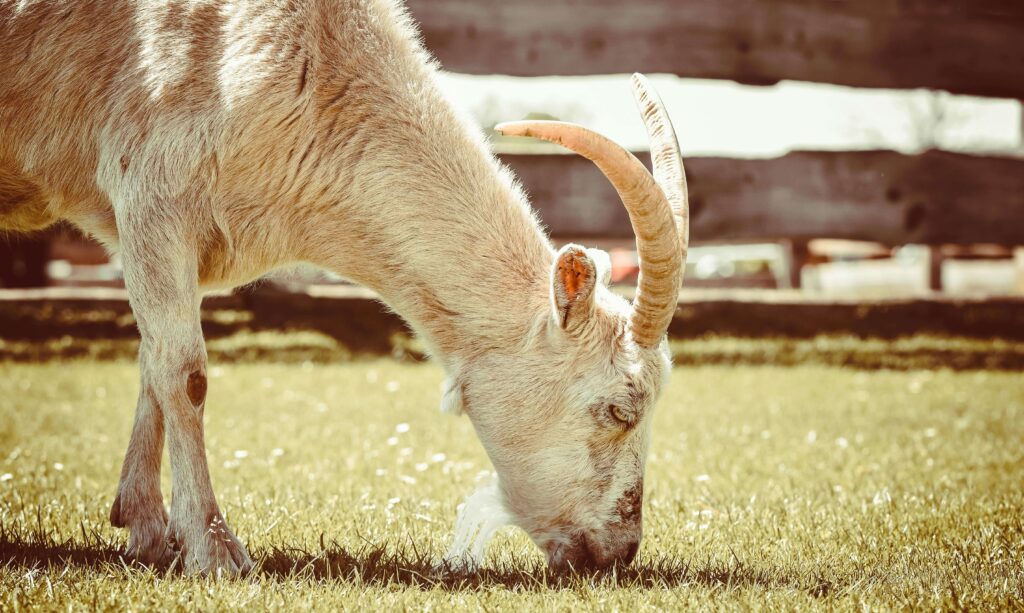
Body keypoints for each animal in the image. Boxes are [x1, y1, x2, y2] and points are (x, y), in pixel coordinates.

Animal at [2, 0, 688, 577]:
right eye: (620, 409)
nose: (618, 554)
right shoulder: (152, 194)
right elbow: (184, 372)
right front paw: (214, 550)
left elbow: (152, 362)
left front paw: (144, 528)